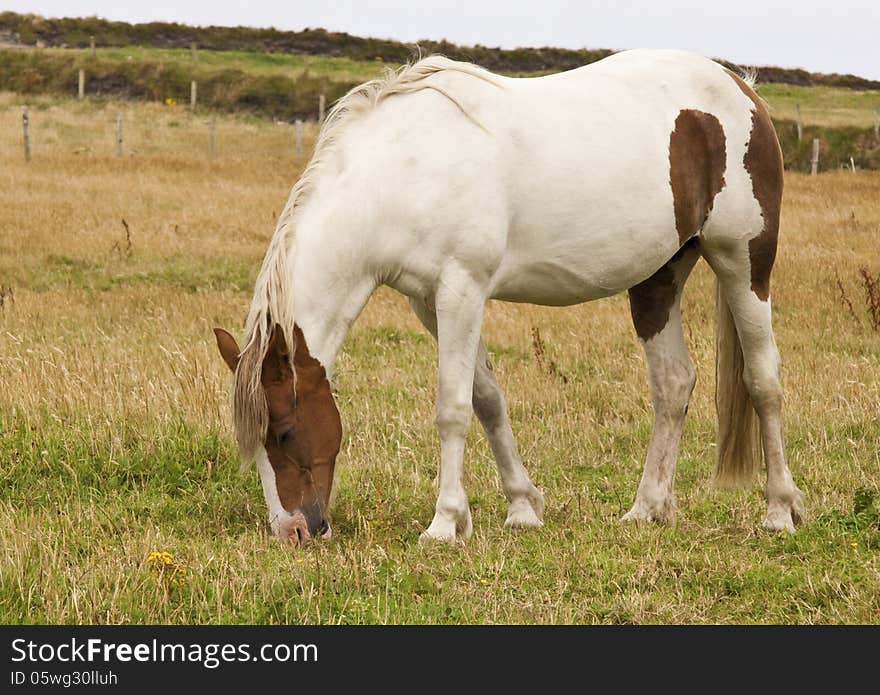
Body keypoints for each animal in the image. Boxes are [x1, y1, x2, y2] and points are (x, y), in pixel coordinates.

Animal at [211, 51, 804, 548]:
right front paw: (522, 507)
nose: (293, 531)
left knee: (763, 381)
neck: (405, 172)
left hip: (742, 263)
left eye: (284, 433)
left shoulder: (462, 290)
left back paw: (779, 510)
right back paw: (646, 508)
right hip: (659, 277)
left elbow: (452, 408)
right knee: (673, 384)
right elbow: (487, 400)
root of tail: (740, 87)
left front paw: (444, 523)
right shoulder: (432, 303)